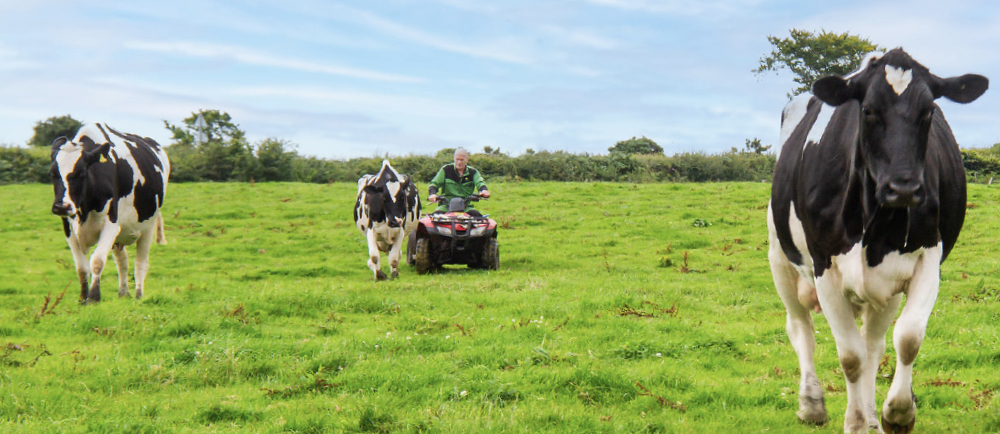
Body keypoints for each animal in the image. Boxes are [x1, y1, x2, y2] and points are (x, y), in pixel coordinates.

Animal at [50, 123, 170, 304]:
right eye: (52, 173)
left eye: (81, 173)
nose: (61, 207)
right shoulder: (68, 228)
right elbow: (81, 267)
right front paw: (82, 299)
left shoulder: (111, 225)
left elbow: (97, 261)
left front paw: (93, 298)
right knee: (122, 261)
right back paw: (123, 292)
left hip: (148, 226)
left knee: (141, 263)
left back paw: (138, 295)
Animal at [768, 48, 987, 433]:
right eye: (868, 110)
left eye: (929, 111)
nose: (904, 188)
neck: (875, 223)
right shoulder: (824, 267)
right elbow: (850, 356)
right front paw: (854, 422)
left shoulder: (927, 257)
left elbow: (907, 338)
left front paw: (897, 412)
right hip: (779, 255)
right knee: (800, 328)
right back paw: (812, 404)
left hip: (884, 289)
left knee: (874, 343)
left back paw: (871, 412)